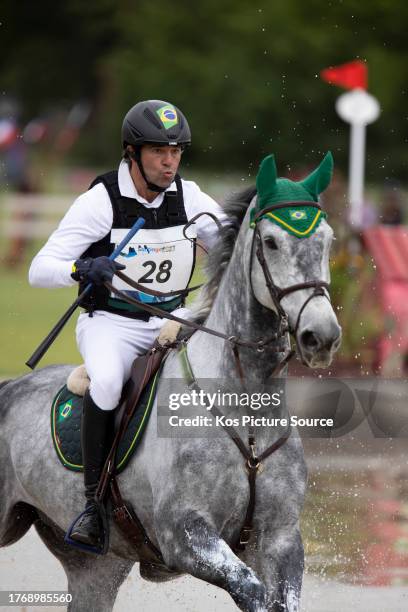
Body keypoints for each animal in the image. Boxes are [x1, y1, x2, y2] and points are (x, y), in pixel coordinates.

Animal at [0, 149, 342, 612]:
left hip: (96, 567)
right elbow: (250, 588)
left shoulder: (281, 539)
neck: (246, 410)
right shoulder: (184, 534)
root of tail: (10, 388)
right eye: (271, 242)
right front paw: (97, 267)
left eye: (328, 240)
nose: (320, 336)